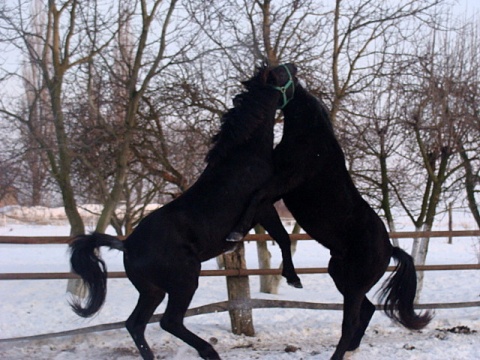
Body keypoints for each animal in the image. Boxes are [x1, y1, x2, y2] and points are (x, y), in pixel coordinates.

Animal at [68, 62, 300, 360]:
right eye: (280, 74)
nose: (294, 66)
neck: (245, 157)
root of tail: (127, 244)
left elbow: (282, 237)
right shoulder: (263, 206)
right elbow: (283, 237)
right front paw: (293, 279)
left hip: (152, 291)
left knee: (136, 324)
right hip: (185, 281)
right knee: (169, 321)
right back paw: (209, 351)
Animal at [227, 79, 434, 360]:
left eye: (264, 83)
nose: (237, 99)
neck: (311, 139)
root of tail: (389, 248)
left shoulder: (284, 182)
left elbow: (257, 196)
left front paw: (236, 233)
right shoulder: (277, 190)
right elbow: (278, 230)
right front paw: (291, 276)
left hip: (354, 285)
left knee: (351, 321)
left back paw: (340, 353)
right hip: (340, 274)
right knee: (367, 310)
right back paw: (351, 349)